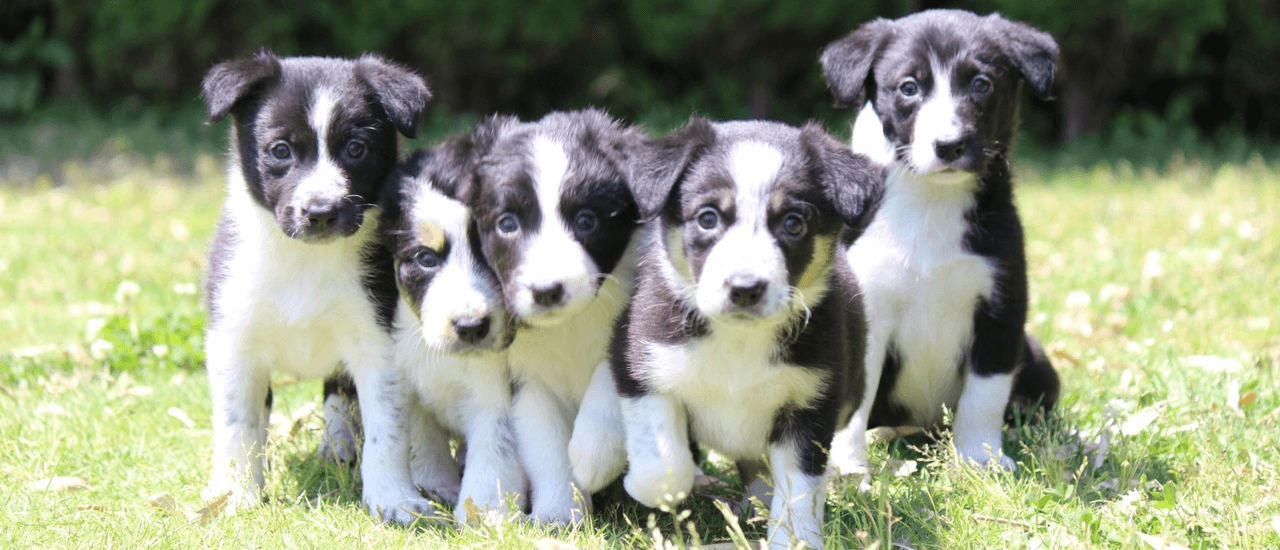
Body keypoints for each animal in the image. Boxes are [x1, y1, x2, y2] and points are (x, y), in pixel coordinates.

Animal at [199, 49, 437, 521]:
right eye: (280, 150)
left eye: (355, 149)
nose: (321, 212)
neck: (304, 260)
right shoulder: (233, 336)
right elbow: (237, 423)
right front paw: (235, 493)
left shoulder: (378, 335)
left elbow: (387, 428)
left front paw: (393, 498)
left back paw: (338, 443)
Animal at [378, 142, 524, 524]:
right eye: (426, 259)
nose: (471, 327)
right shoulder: (409, 377)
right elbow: (422, 436)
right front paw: (435, 485)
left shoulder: (496, 395)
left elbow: (493, 451)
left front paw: (483, 513)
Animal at [455, 108, 645, 524]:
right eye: (507, 223)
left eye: (586, 221)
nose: (546, 291)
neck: (567, 327)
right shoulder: (528, 380)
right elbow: (547, 446)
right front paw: (560, 514)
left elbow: (611, 373)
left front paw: (592, 455)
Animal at [606, 117, 880, 550]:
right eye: (707, 218)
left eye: (793, 224)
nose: (745, 288)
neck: (738, 340)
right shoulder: (640, 365)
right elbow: (664, 464)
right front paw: (647, 489)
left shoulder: (810, 405)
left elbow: (800, 491)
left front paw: (795, 538)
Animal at [819, 9, 1059, 480]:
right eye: (909, 87)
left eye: (982, 83)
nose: (949, 146)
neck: (932, 201)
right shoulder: (869, 308)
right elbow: (855, 399)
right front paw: (850, 467)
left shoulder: (1001, 306)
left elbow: (984, 393)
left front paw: (980, 458)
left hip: (1038, 359)